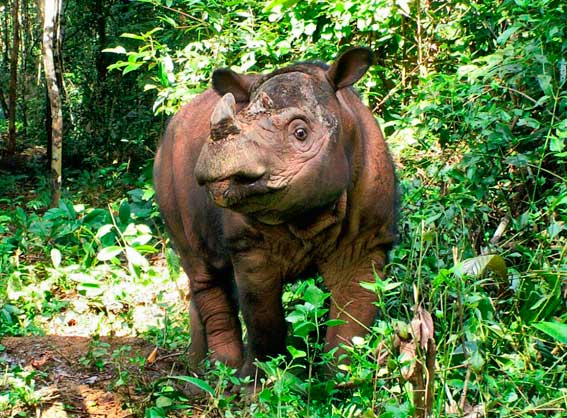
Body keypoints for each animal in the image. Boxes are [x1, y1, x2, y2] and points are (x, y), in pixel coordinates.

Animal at [153, 46, 398, 376]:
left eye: (300, 133)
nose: (217, 159)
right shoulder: (250, 245)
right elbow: (262, 318)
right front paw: (257, 383)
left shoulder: (366, 241)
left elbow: (352, 320)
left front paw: (343, 380)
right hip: (164, 167)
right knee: (202, 269)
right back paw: (221, 371)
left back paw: (200, 369)